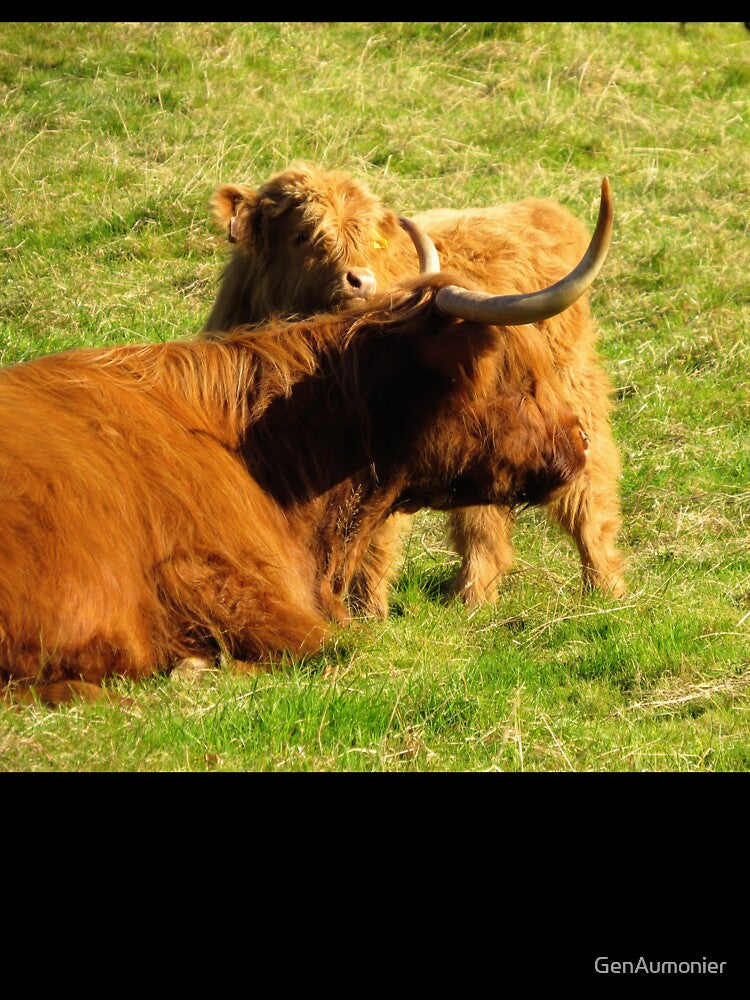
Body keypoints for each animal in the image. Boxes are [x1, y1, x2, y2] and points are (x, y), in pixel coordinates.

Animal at [205, 163, 626, 613]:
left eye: (368, 241)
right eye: (303, 235)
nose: (361, 281)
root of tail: (541, 212)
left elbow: (368, 539)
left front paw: (367, 612)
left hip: (567, 401)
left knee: (589, 491)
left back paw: (606, 590)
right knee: (484, 515)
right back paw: (472, 599)